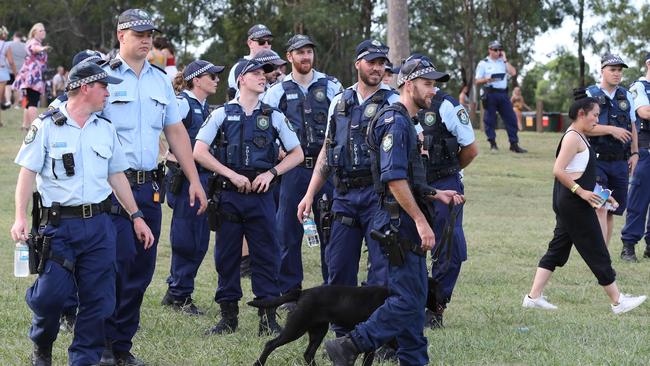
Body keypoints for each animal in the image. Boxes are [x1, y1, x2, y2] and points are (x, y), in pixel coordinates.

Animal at [246, 278, 438, 364]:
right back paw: (258, 363)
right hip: (296, 328)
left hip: (318, 331)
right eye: (435, 288)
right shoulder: (377, 339)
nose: (441, 303)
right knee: (271, 344)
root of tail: (303, 292)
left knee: (308, 353)